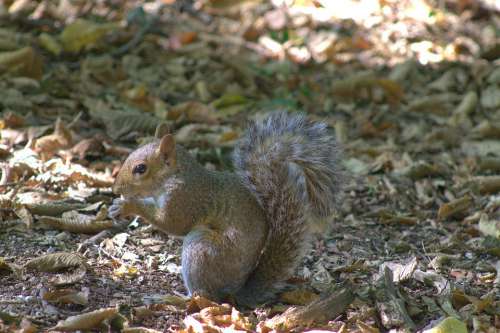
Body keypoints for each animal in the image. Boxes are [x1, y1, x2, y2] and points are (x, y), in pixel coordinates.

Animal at [110, 112, 344, 306]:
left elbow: (174, 223)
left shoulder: (186, 198)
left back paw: (171, 299)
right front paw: (117, 207)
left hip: (202, 249)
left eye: (141, 168)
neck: (175, 175)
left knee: (204, 297)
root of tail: (235, 292)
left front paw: (128, 204)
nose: (116, 188)